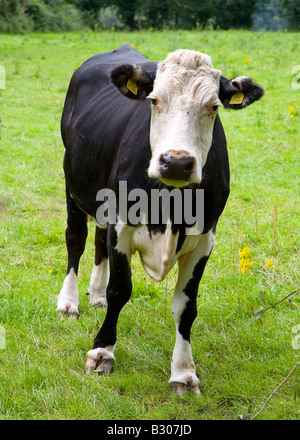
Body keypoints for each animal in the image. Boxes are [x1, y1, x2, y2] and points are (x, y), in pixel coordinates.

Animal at [57, 44, 264, 396]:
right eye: (154, 100)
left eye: (213, 107)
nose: (177, 162)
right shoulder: (122, 225)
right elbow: (120, 290)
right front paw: (102, 352)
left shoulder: (204, 239)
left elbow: (186, 306)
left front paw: (183, 372)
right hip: (73, 184)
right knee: (76, 240)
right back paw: (69, 302)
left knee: (97, 240)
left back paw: (95, 295)